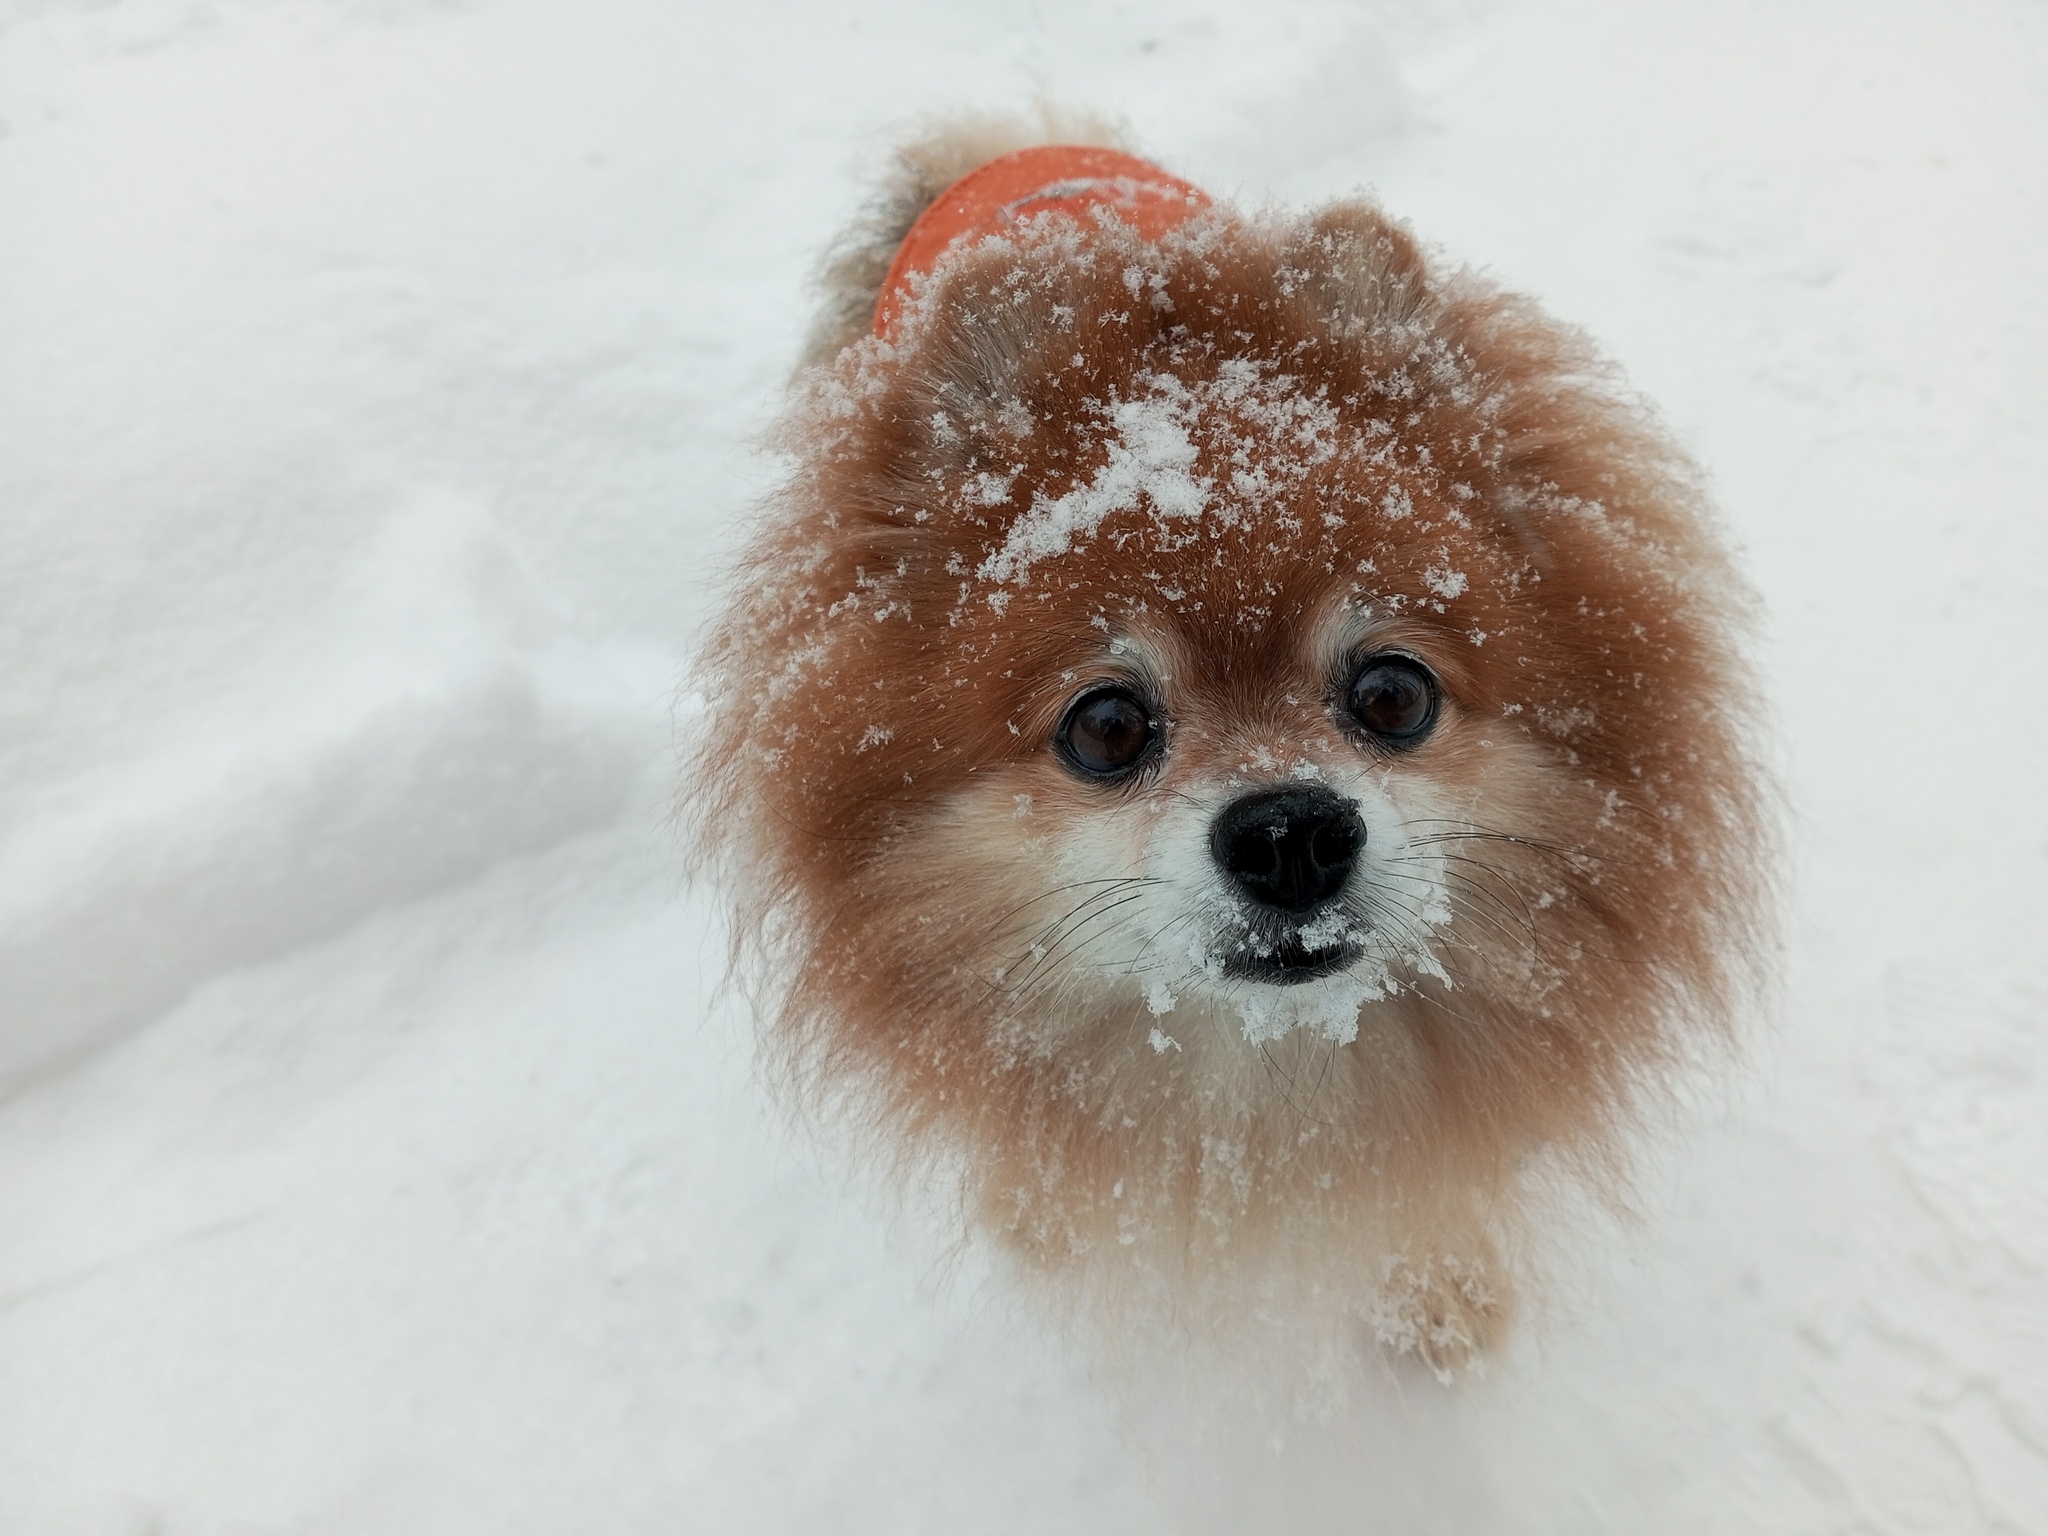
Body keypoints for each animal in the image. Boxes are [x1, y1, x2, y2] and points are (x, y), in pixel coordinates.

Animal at [691, 114, 1770, 1374]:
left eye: (1392, 695)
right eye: (1106, 726)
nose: (1289, 833)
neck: (1265, 1076)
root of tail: (1003, 146)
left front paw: (1435, 1287)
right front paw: (1040, 1218)